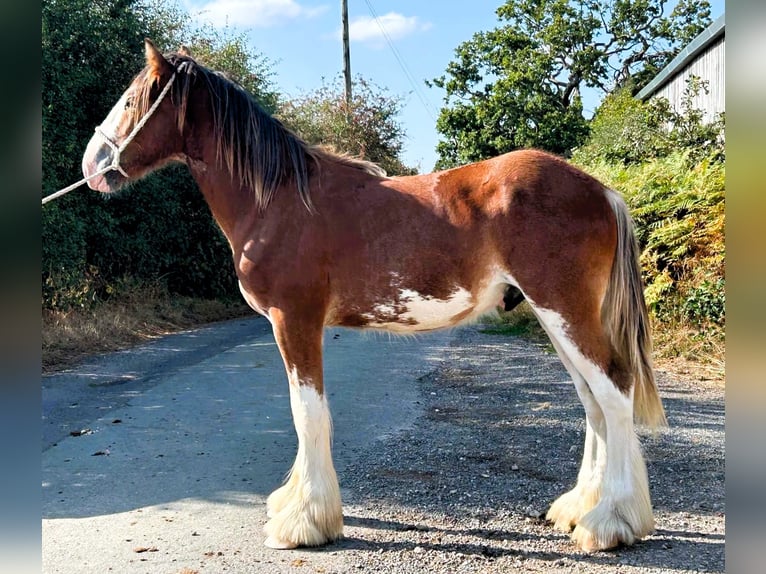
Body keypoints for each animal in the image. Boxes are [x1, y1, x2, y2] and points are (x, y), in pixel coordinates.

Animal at [81, 39, 666, 553]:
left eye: (132, 101)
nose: (92, 165)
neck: (280, 201)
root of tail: (601, 190)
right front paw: (296, 505)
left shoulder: (293, 320)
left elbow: (308, 414)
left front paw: (305, 522)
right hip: (554, 316)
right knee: (593, 401)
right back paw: (580, 508)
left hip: (563, 310)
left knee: (614, 392)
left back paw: (609, 523)